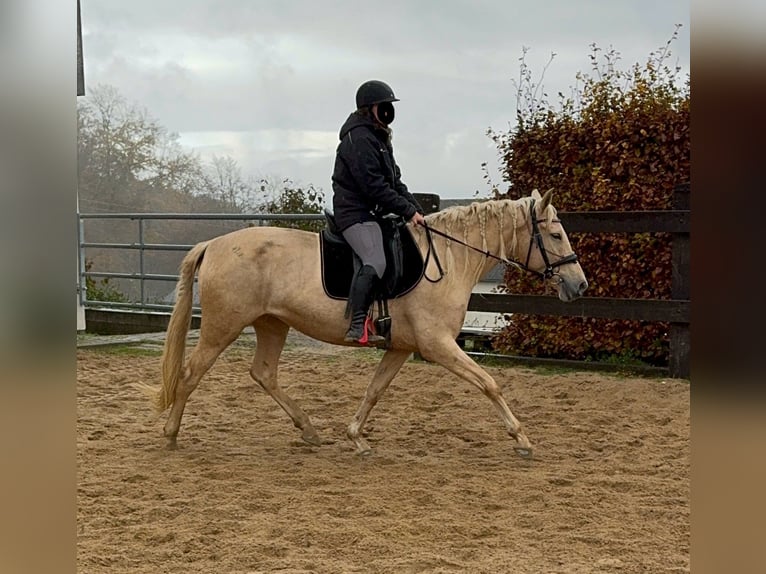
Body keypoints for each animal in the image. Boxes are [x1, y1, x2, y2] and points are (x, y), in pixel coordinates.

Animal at [147, 189, 592, 460]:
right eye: (555, 235)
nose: (580, 284)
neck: (448, 259)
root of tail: (214, 244)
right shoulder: (438, 345)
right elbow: (489, 383)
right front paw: (522, 439)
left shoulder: (401, 347)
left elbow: (375, 390)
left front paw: (356, 438)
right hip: (223, 326)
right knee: (190, 373)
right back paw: (170, 434)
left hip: (272, 324)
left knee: (264, 373)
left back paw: (309, 430)